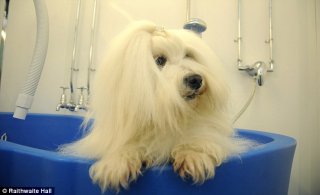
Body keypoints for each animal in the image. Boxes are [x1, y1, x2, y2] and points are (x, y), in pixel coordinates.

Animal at [60, 21, 245, 192]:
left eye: (188, 55)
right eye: (160, 60)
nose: (196, 79)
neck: (167, 112)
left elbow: (197, 138)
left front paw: (193, 157)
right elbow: (124, 146)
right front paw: (114, 165)